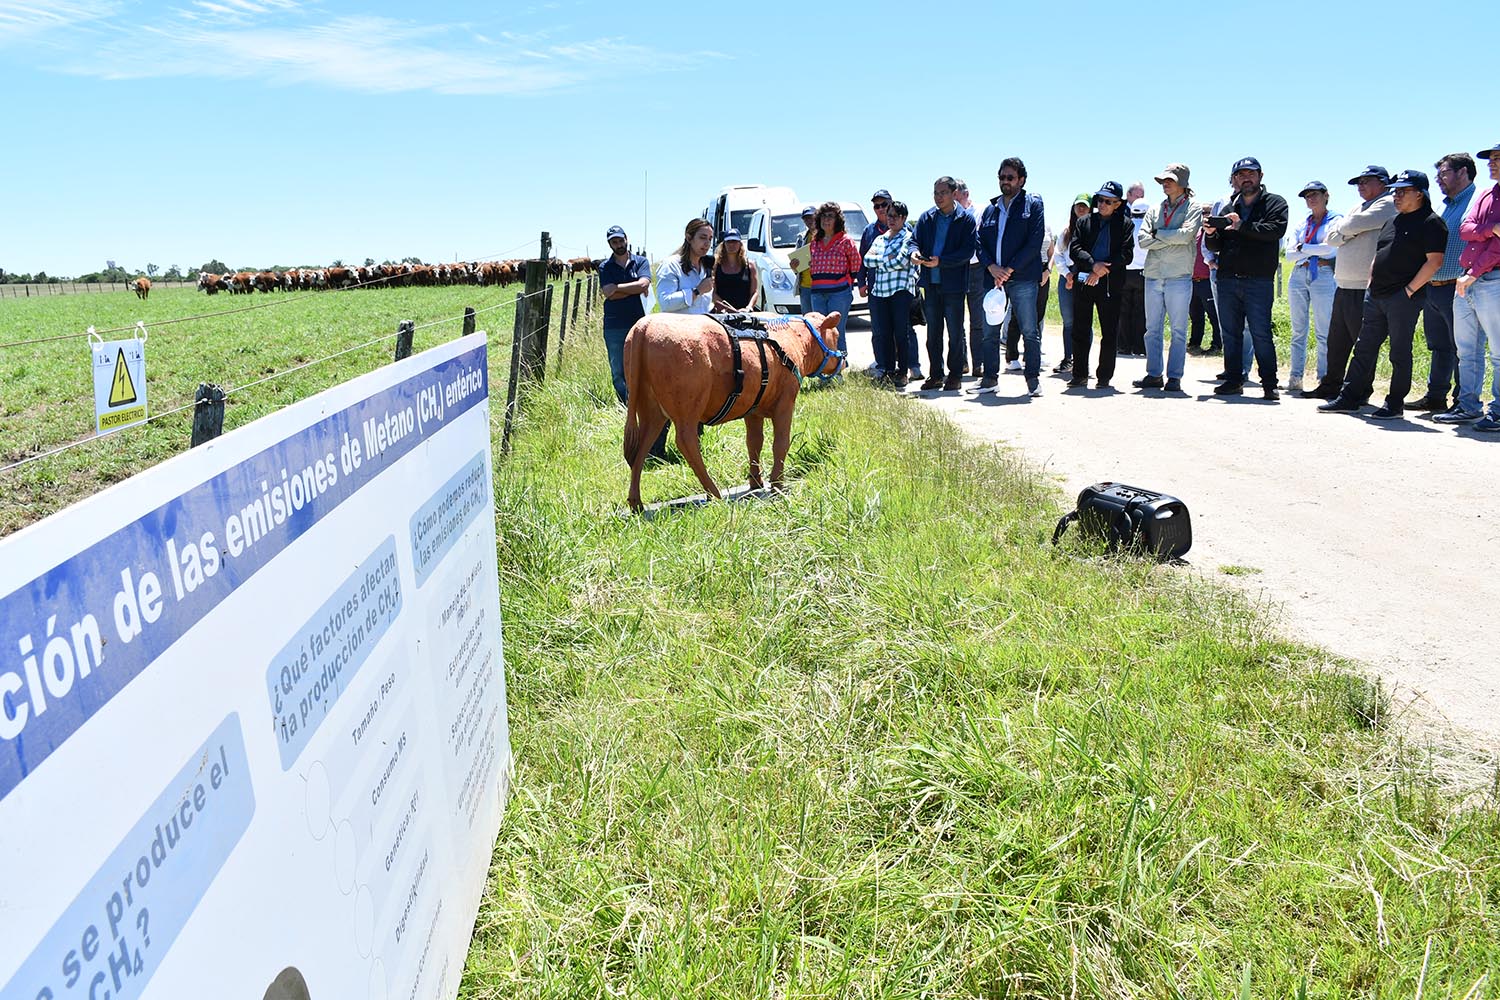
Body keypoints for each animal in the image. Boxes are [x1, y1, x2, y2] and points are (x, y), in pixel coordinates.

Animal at [618, 313, 846, 512]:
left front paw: (756, 481)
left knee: (642, 447)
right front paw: (777, 484)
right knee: (685, 442)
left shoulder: (753, 410)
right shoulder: (785, 402)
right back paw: (714, 493)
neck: (790, 337)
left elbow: (754, 442)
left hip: (651, 410)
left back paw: (636, 503)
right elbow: (780, 443)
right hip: (687, 408)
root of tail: (644, 326)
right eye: (835, 335)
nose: (844, 360)